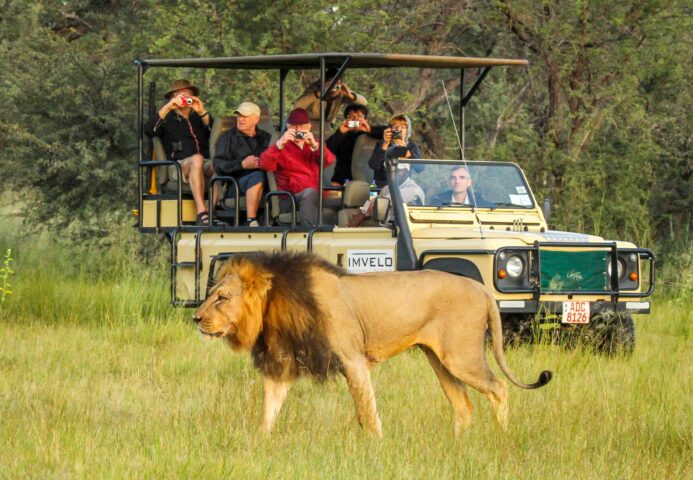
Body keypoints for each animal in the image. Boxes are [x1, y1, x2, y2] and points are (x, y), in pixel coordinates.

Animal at [195, 251, 552, 436]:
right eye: (212, 294)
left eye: (222, 298)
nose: (197, 318)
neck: (275, 305)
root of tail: (482, 289)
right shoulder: (281, 366)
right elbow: (269, 411)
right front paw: (259, 443)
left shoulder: (352, 360)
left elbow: (367, 411)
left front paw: (376, 446)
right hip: (439, 359)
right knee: (463, 404)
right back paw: (458, 445)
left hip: (461, 357)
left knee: (498, 388)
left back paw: (502, 438)